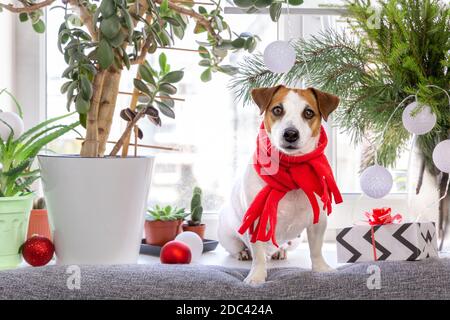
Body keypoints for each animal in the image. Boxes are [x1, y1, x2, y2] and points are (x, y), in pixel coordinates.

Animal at [219, 85, 342, 284]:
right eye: (277, 110)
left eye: (309, 112)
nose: (290, 134)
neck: (291, 168)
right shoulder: (256, 221)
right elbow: (258, 255)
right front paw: (257, 276)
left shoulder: (318, 221)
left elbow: (316, 249)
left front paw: (322, 269)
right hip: (227, 236)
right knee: (240, 248)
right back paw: (244, 253)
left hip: (295, 240)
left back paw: (280, 251)